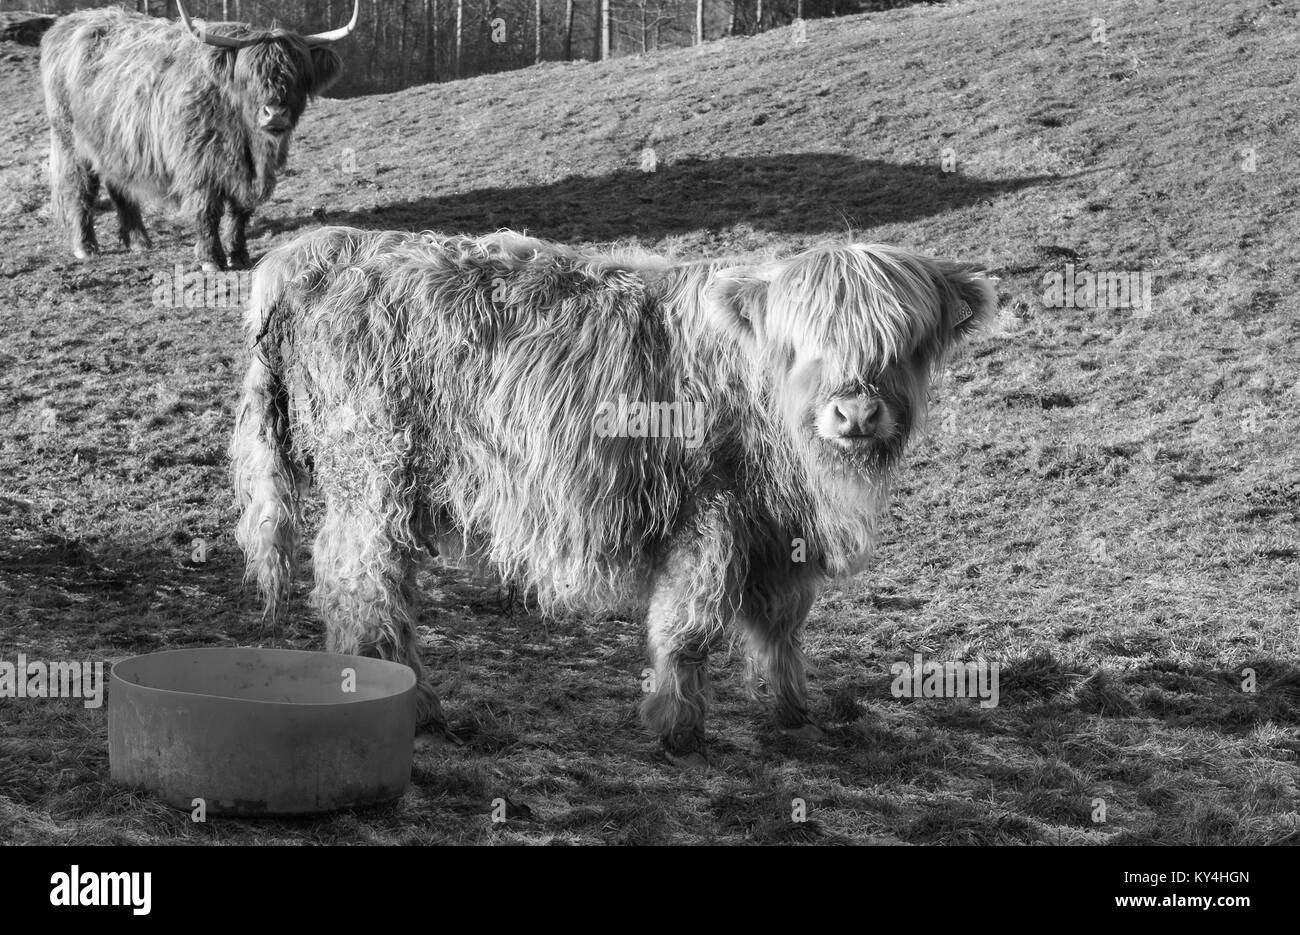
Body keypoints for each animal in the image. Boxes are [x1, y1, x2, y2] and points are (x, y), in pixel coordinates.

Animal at [40, 3, 356, 273]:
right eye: (248, 74)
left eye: (297, 73)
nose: (274, 113)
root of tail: (70, 22)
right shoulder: (199, 164)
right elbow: (208, 211)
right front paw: (211, 259)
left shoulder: (247, 173)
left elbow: (240, 212)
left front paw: (239, 255)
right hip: (70, 140)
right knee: (80, 188)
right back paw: (86, 246)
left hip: (114, 143)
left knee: (120, 188)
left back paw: (139, 241)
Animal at [231, 228, 993, 769]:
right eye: (802, 345)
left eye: (903, 343)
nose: (856, 413)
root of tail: (325, 246)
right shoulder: (711, 515)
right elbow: (690, 626)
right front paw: (677, 727)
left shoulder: (777, 530)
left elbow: (780, 622)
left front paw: (793, 709)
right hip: (373, 477)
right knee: (365, 585)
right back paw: (416, 704)